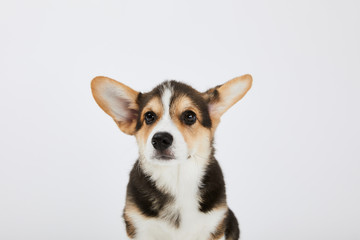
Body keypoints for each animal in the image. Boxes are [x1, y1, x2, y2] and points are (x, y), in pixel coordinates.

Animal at [90, 74, 253, 239]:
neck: (176, 179)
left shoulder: (213, 225)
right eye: (149, 116)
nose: (160, 139)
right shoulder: (140, 227)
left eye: (190, 116)